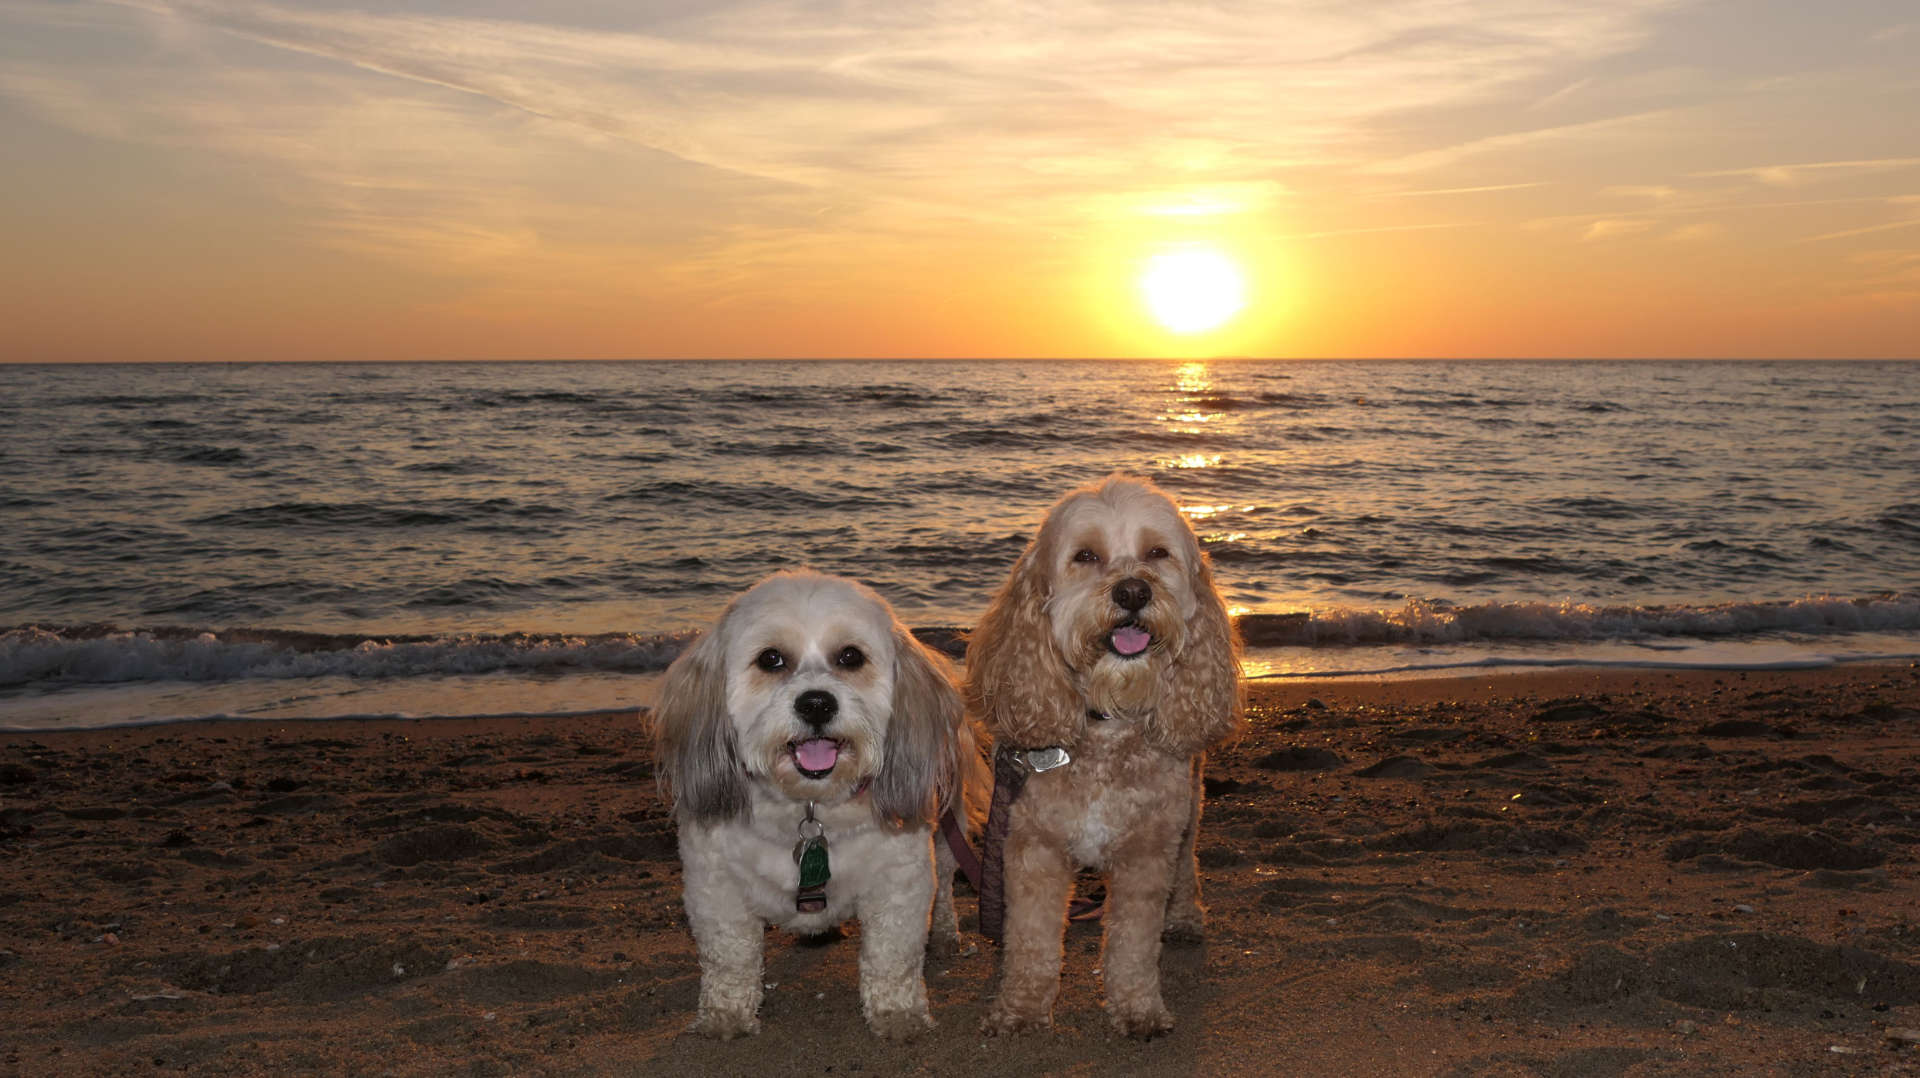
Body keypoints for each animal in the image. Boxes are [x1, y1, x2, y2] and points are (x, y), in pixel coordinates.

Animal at [656, 568, 990, 1037]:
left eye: (851, 656)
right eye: (771, 659)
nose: (816, 703)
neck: (810, 809)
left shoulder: (899, 882)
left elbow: (893, 957)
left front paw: (898, 1015)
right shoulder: (714, 885)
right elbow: (730, 959)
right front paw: (725, 1016)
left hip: (945, 834)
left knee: (943, 890)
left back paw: (943, 935)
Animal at [967, 474, 1236, 1037]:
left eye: (1157, 553)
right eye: (1086, 555)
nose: (1133, 591)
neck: (1107, 721)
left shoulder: (1146, 854)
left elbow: (1133, 944)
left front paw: (1137, 1008)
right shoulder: (1032, 849)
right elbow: (1031, 941)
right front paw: (1022, 1006)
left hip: (1189, 806)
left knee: (1187, 864)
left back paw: (1184, 918)